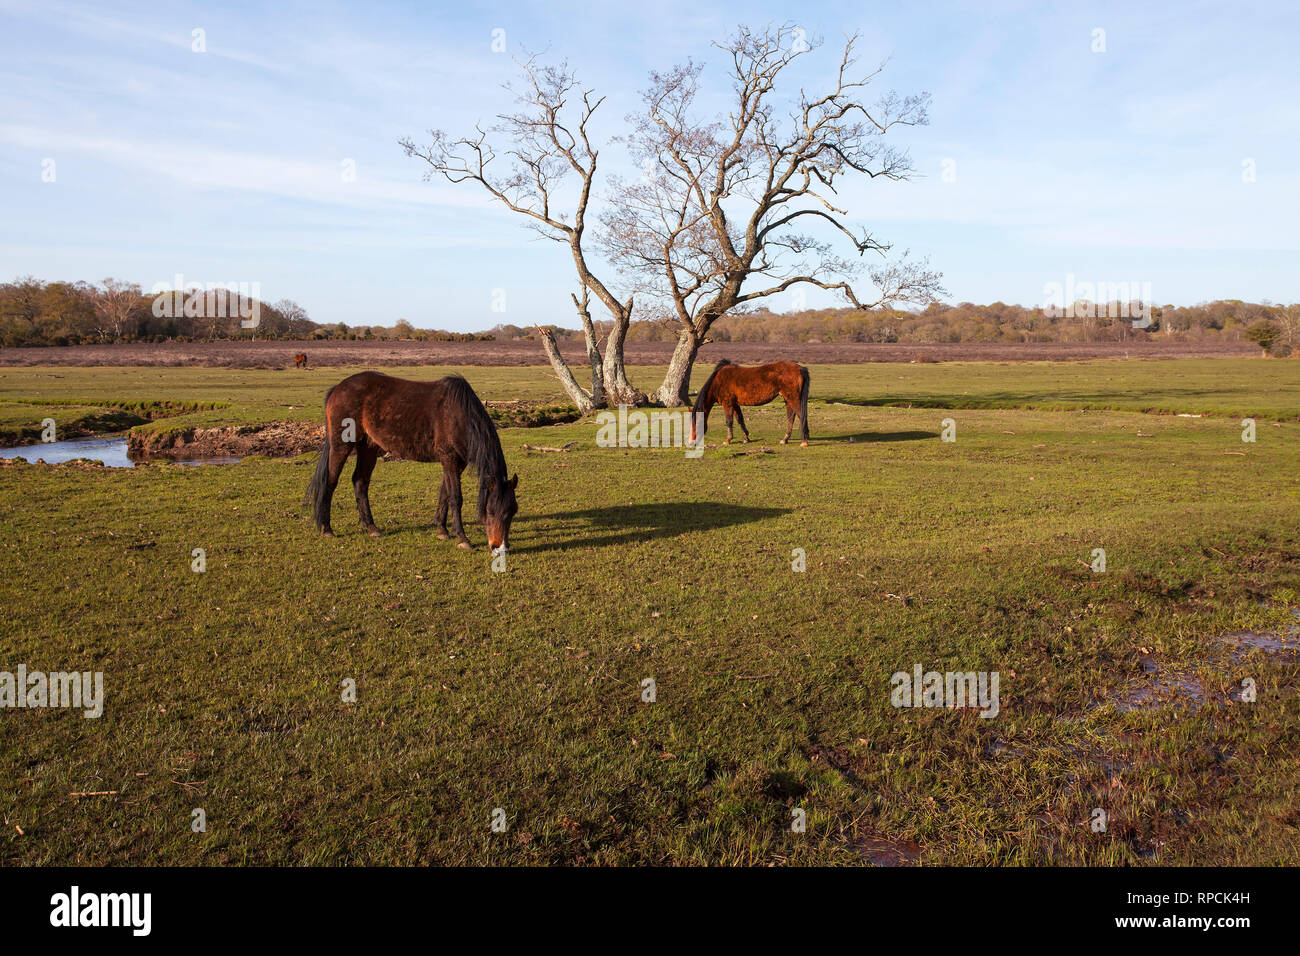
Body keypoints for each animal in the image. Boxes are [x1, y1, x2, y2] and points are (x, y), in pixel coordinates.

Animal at [308, 374, 517, 554]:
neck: (459, 415)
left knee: (360, 481)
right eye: (490, 511)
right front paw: (463, 539)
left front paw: (442, 531)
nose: (500, 548)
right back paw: (327, 529)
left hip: (368, 446)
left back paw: (372, 527)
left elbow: (444, 493)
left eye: (513, 511)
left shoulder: (457, 462)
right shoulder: (449, 458)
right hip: (341, 446)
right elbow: (455, 497)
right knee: (330, 482)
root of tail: (338, 388)